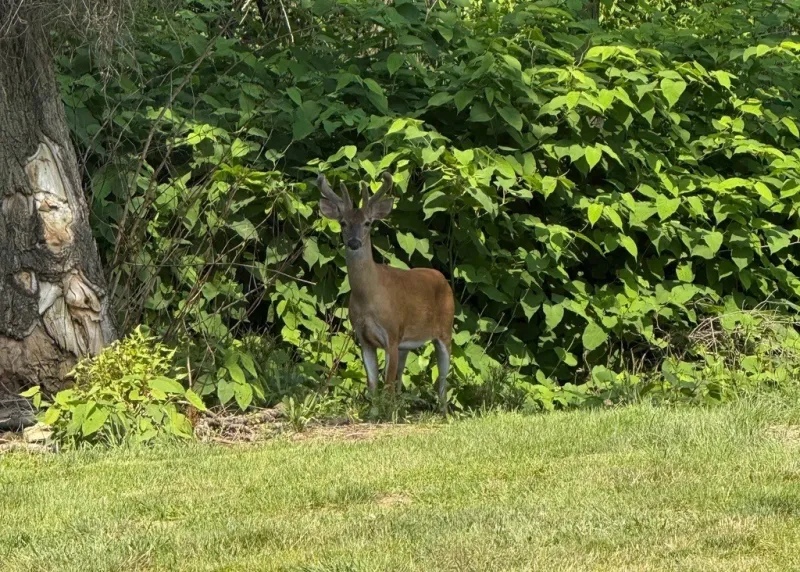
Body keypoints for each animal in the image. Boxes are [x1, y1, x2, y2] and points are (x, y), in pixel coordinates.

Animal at [316, 171, 455, 413]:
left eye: (367, 222)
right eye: (343, 222)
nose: (354, 242)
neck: (369, 298)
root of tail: (442, 278)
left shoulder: (391, 333)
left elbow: (387, 383)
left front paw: (386, 414)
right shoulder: (364, 339)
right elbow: (373, 383)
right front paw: (373, 413)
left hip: (445, 330)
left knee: (443, 378)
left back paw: (444, 412)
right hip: (406, 344)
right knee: (401, 379)